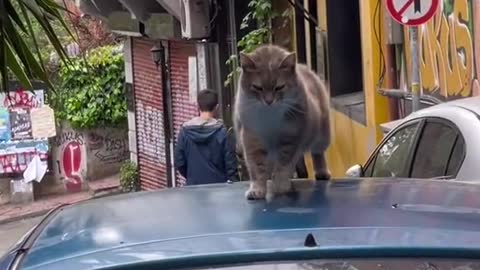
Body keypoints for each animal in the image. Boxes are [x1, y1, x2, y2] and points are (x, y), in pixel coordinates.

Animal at [232, 44, 330, 200]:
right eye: (257, 87)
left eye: (279, 87)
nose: (269, 101)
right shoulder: (252, 139)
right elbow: (257, 169)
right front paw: (257, 190)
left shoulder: (290, 140)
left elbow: (283, 166)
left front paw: (280, 185)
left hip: (322, 136)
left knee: (318, 154)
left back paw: (321, 172)